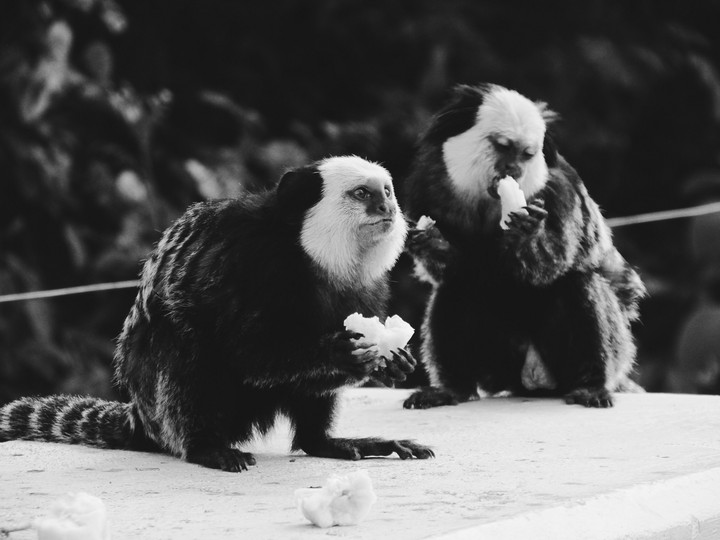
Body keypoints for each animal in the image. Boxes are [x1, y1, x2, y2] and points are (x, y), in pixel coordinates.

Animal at [0, 155, 434, 471]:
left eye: (387, 191)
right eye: (362, 193)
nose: (387, 206)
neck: (305, 252)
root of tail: (140, 419)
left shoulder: (367, 289)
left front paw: (391, 362)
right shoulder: (246, 261)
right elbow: (245, 352)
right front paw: (338, 353)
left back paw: (324, 443)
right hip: (167, 406)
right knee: (184, 342)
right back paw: (203, 446)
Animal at [401, 84, 645, 410]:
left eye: (527, 155)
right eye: (504, 148)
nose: (514, 169)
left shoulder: (560, 193)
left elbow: (553, 264)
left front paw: (526, 234)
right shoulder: (428, 185)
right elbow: (448, 270)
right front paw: (434, 244)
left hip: (610, 353)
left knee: (578, 282)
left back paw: (591, 385)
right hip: (499, 364)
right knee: (457, 286)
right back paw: (452, 390)